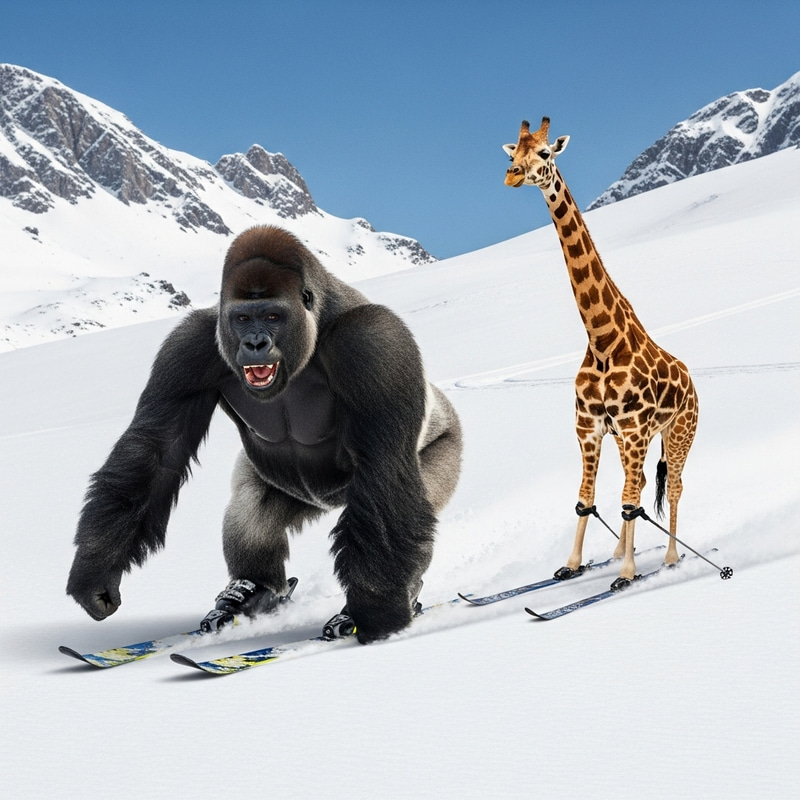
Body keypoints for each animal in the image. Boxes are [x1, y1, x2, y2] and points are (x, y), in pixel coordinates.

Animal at [66, 225, 462, 644]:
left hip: (446, 446)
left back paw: (392, 596)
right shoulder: (187, 348)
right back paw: (251, 592)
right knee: (251, 505)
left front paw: (378, 613)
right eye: (242, 318)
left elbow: (383, 465)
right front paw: (96, 569)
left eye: (273, 316)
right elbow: (156, 451)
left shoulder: (374, 344)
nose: (255, 343)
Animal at [503, 117, 698, 589]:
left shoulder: (630, 427)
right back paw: (617, 553)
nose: (512, 175)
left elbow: (627, 500)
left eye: (545, 154)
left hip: (679, 432)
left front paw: (627, 573)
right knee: (641, 482)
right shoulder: (589, 426)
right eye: (514, 151)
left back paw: (668, 558)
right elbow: (585, 496)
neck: (602, 340)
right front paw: (573, 565)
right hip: (640, 439)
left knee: (673, 486)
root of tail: (693, 383)